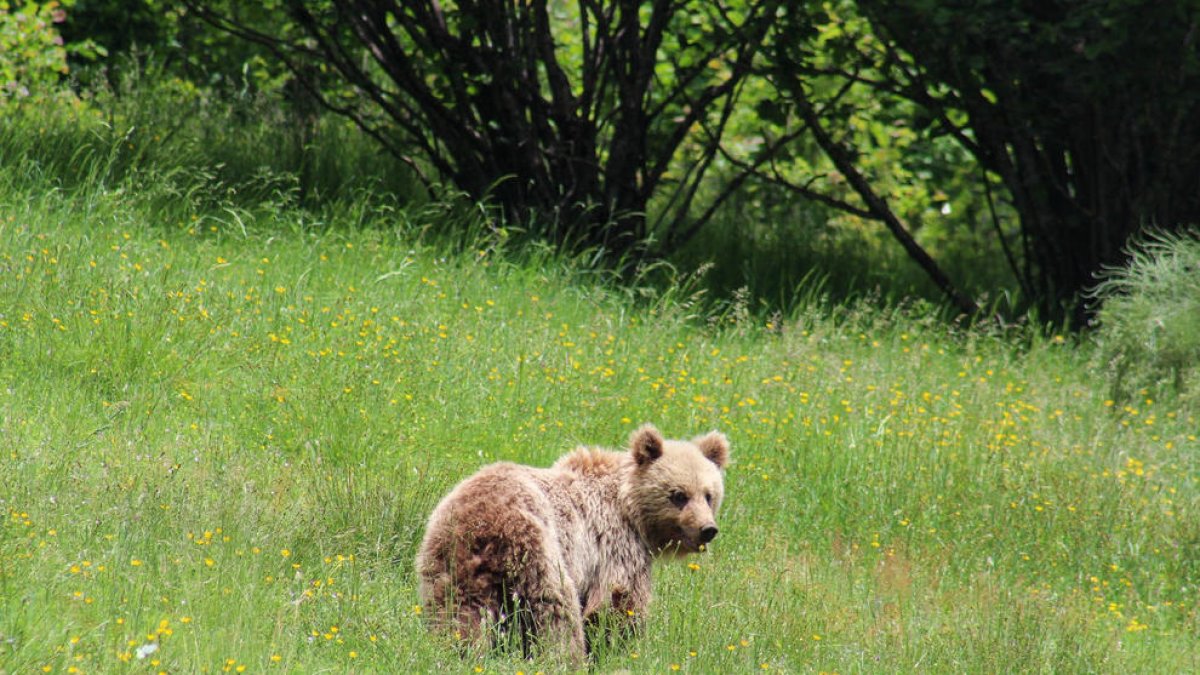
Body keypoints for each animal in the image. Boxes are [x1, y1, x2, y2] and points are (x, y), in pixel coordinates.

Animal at [417, 420, 724, 658]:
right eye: (679, 495)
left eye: (709, 495)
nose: (707, 529)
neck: (629, 508)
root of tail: (483, 522)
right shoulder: (615, 544)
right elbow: (618, 601)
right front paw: (614, 648)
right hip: (538, 550)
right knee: (555, 613)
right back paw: (564, 658)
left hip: (451, 561)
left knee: (456, 613)